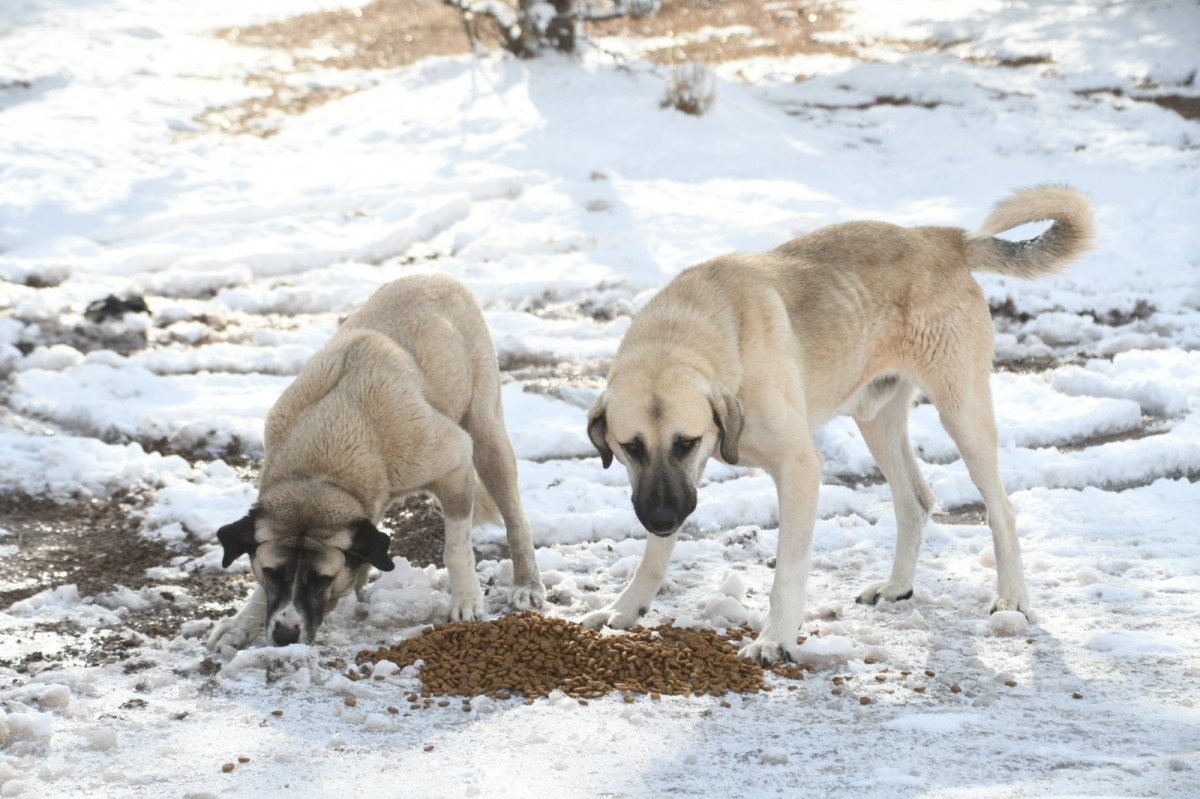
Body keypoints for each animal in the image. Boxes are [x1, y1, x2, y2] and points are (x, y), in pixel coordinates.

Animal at [206, 273, 544, 647]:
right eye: (272, 573)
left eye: (321, 578)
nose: (284, 635)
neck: (322, 467)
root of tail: (436, 277)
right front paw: (241, 623)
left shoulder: (455, 461)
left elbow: (456, 549)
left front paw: (466, 602)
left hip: (487, 435)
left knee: (516, 520)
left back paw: (527, 584)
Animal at [580, 184, 1099, 657]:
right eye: (631, 447)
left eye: (685, 442)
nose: (661, 518)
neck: (688, 334)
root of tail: (942, 238)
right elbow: (652, 556)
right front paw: (625, 607)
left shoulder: (797, 467)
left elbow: (787, 572)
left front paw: (775, 639)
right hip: (877, 420)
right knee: (915, 501)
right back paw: (897, 586)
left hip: (963, 413)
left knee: (1001, 510)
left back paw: (1012, 598)